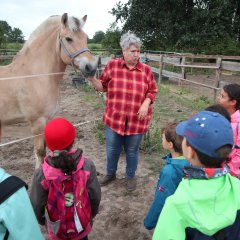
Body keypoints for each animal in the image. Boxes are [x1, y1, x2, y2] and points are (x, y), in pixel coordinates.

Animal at [0, 12, 98, 167]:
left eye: (86, 38)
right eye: (68, 39)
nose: (91, 68)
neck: (35, 75)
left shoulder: (47, 119)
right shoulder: (37, 122)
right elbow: (40, 152)